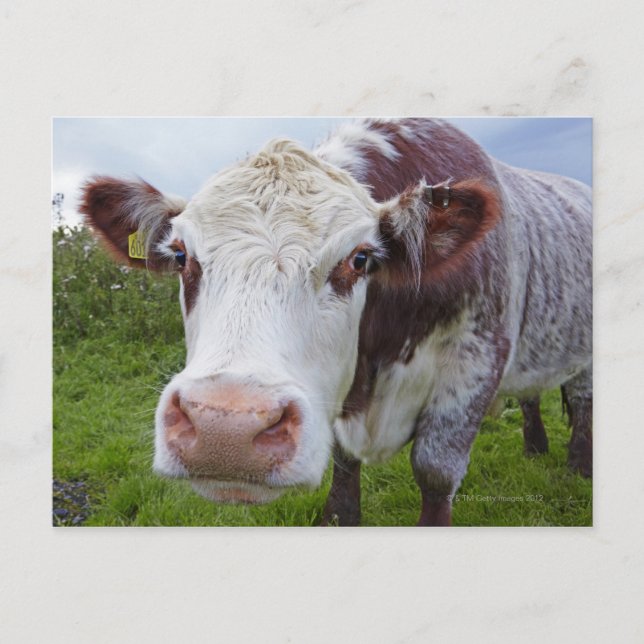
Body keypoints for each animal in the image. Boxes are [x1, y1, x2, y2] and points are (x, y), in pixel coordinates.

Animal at [80, 118, 592, 526]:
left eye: (360, 258)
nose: (225, 431)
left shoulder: (477, 361)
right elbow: (345, 462)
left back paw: (578, 467)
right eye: (182, 256)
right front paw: (340, 515)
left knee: (583, 400)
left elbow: (435, 471)